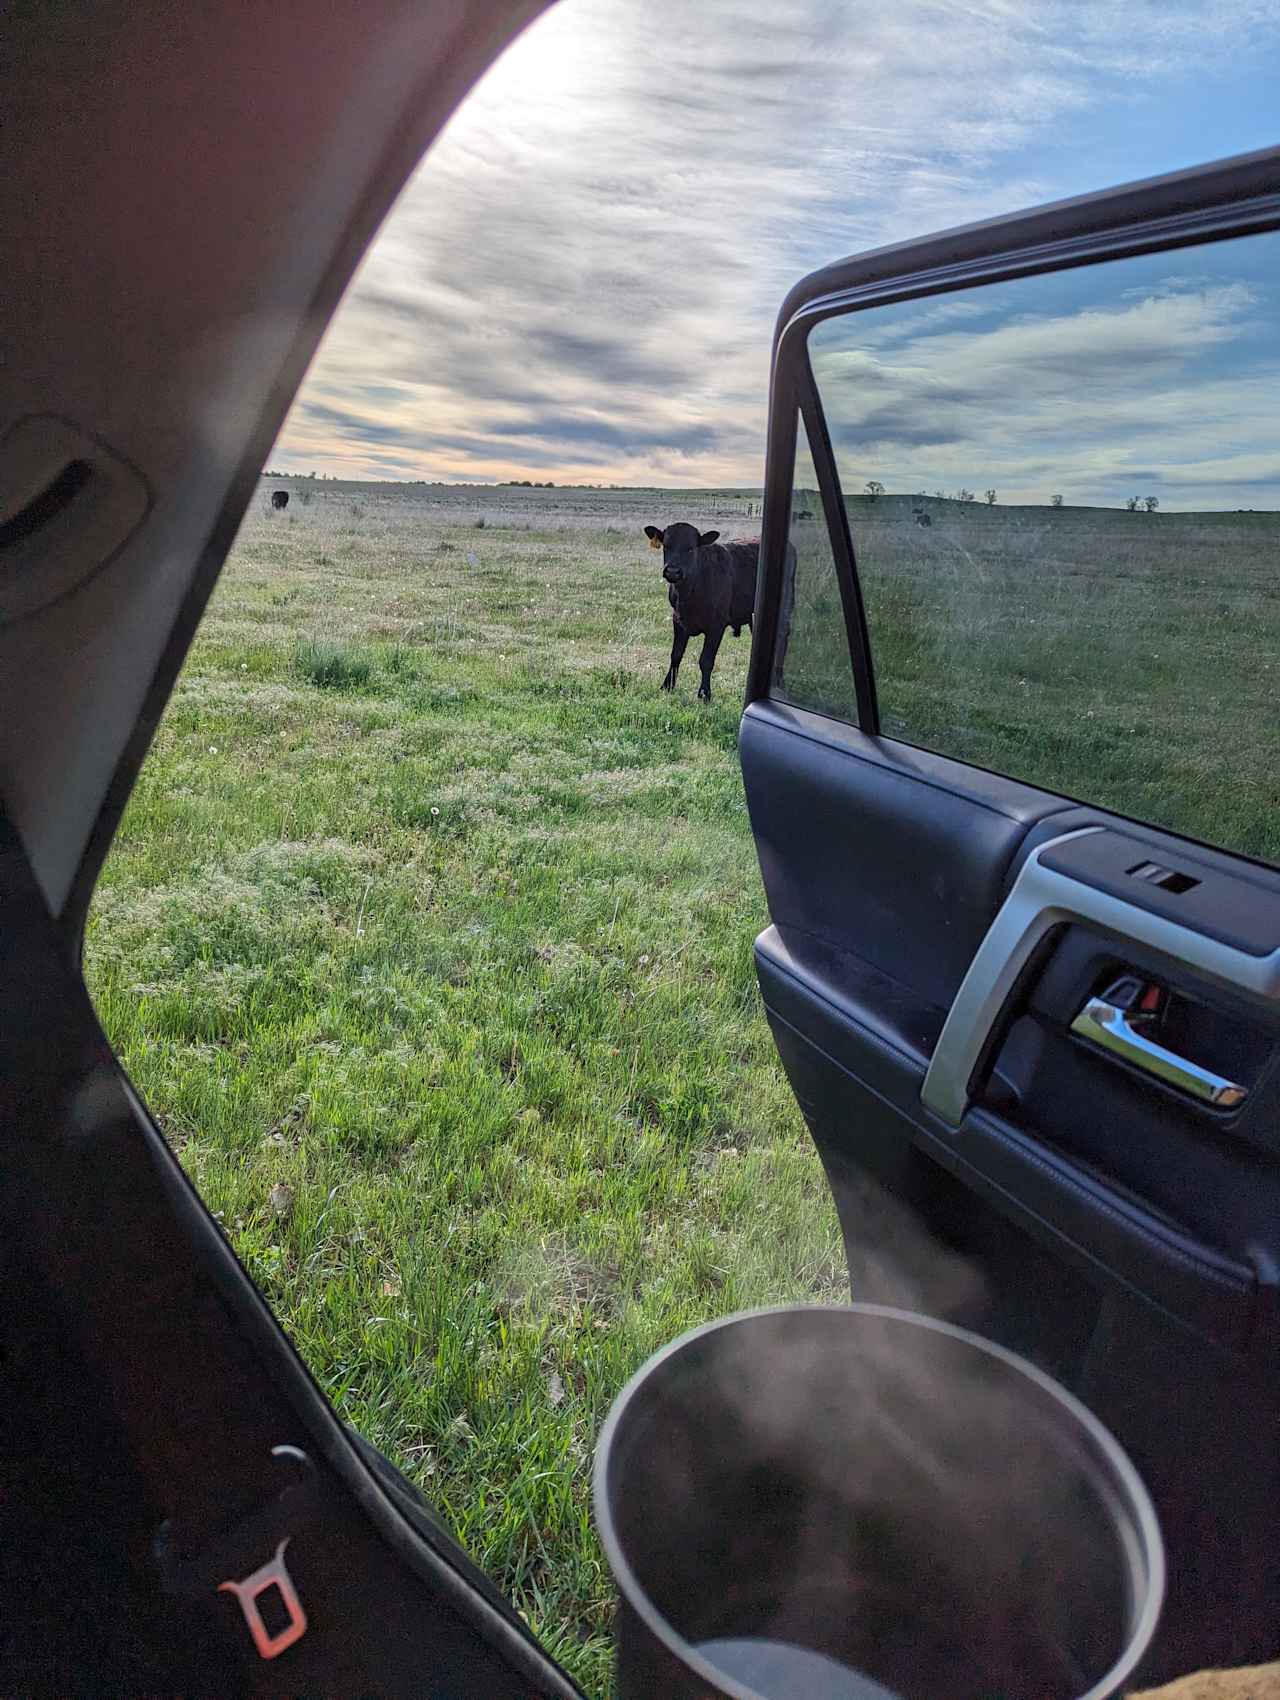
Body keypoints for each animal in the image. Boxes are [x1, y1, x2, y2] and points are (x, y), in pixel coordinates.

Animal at [642, 520, 754, 700]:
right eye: (666, 546)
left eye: (690, 548)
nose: (672, 571)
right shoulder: (678, 620)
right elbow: (676, 655)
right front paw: (667, 685)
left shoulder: (717, 625)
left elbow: (706, 660)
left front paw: (704, 693)